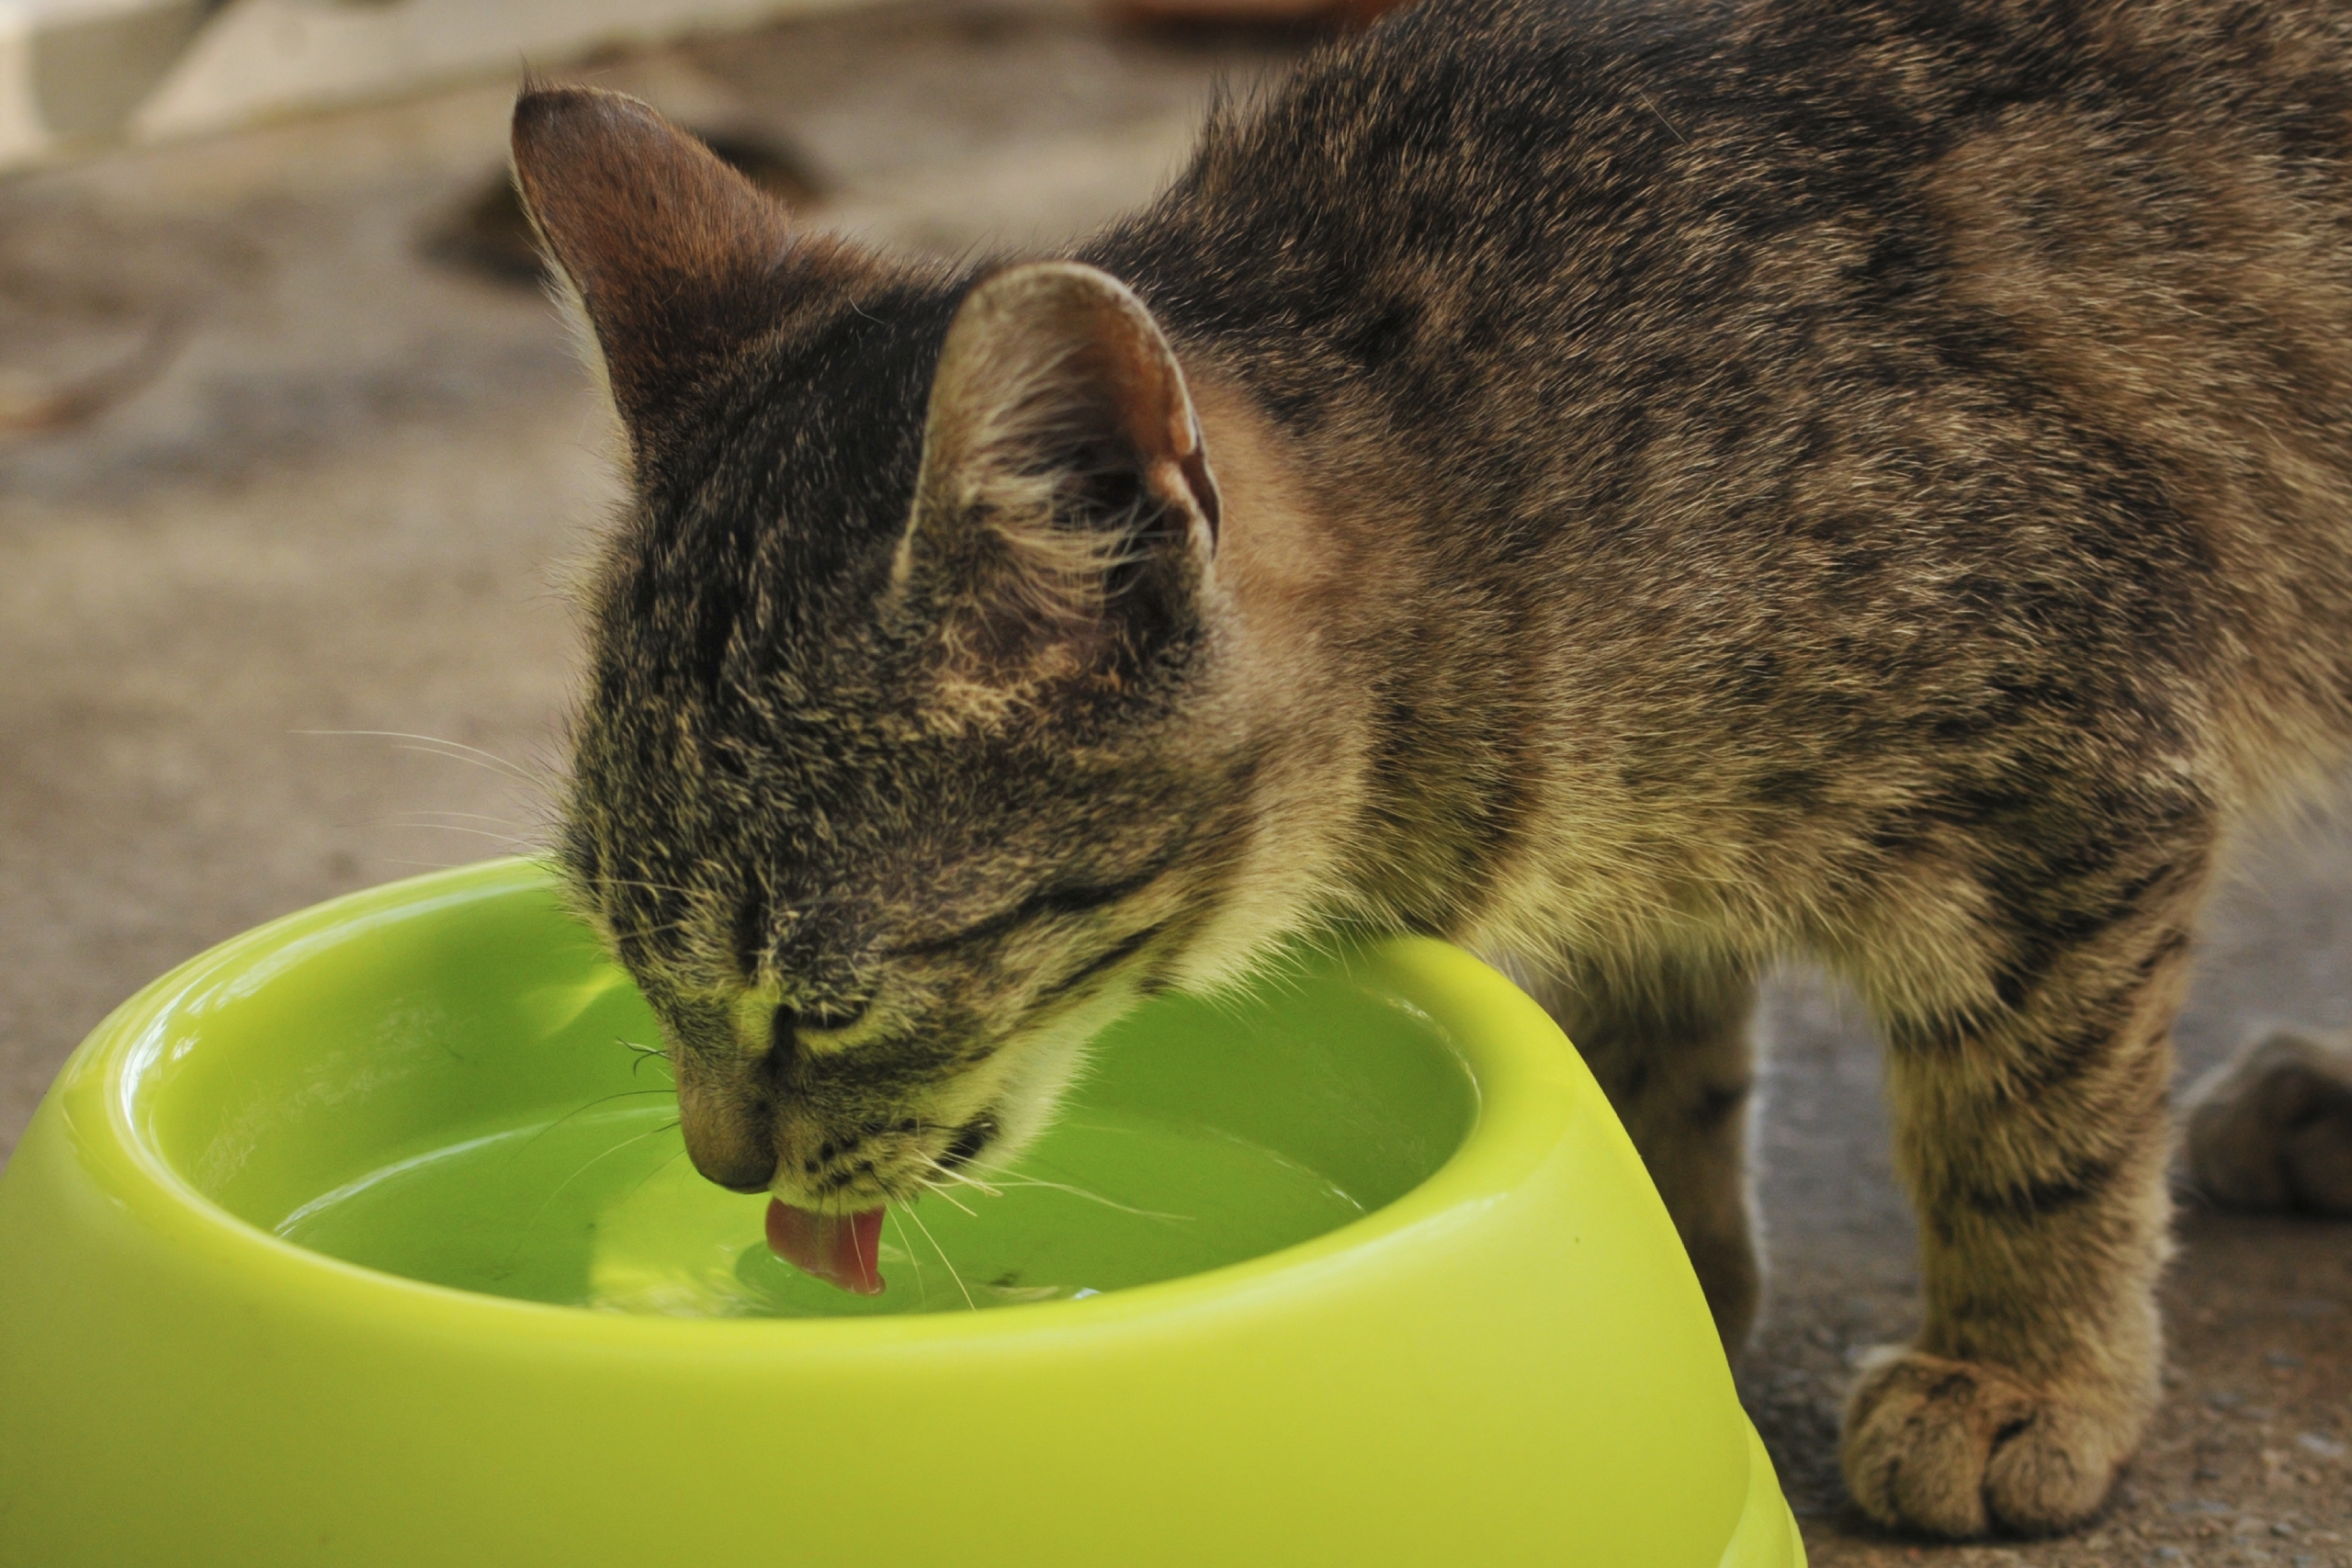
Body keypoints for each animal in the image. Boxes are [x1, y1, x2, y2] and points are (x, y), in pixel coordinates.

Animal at [514, 0, 2352, 1541]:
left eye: (825, 1002)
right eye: (622, 950)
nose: (717, 1162)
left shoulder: (2075, 760)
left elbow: (2030, 1118)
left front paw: (2021, 1366)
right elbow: (1653, 1050)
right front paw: (1662, 1259)